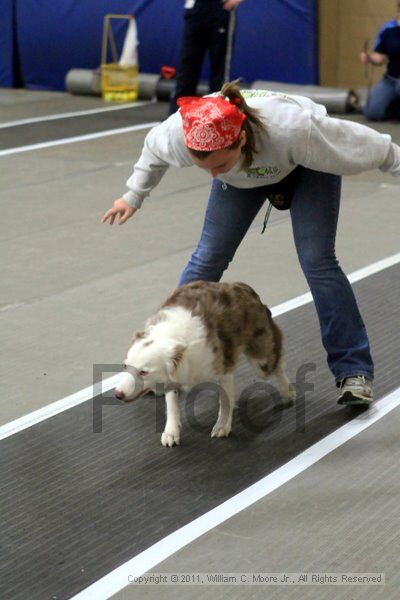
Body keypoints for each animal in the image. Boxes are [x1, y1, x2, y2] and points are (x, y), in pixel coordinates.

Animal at [114, 282, 296, 446]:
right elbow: (172, 404)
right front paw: (171, 432)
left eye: (144, 372)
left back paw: (288, 392)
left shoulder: (223, 367)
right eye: (125, 366)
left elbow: (225, 400)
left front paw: (222, 425)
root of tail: (244, 287)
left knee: (277, 366)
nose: (118, 394)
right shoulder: (173, 375)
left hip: (261, 359)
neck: (174, 337)